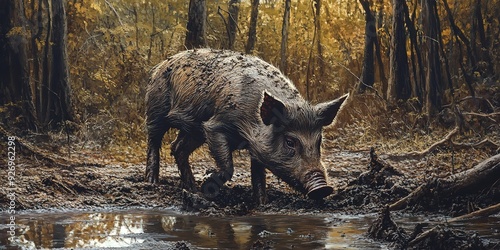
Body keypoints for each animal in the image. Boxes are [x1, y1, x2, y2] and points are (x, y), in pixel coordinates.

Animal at [145, 47, 348, 204]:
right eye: (290, 141)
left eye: (319, 141)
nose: (323, 188)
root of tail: (160, 65)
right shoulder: (214, 126)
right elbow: (228, 167)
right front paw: (207, 184)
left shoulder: (256, 146)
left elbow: (258, 175)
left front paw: (262, 203)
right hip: (156, 108)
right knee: (154, 140)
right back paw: (152, 182)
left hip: (194, 130)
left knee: (177, 148)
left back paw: (192, 188)